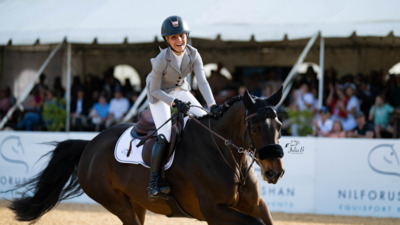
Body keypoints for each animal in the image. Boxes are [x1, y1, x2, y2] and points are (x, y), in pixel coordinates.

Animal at [8, 87, 284, 224]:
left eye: (279, 126)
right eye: (255, 128)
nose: (275, 172)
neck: (226, 155)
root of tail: (89, 145)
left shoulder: (256, 205)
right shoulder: (214, 211)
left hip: (137, 203)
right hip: (117, 203)